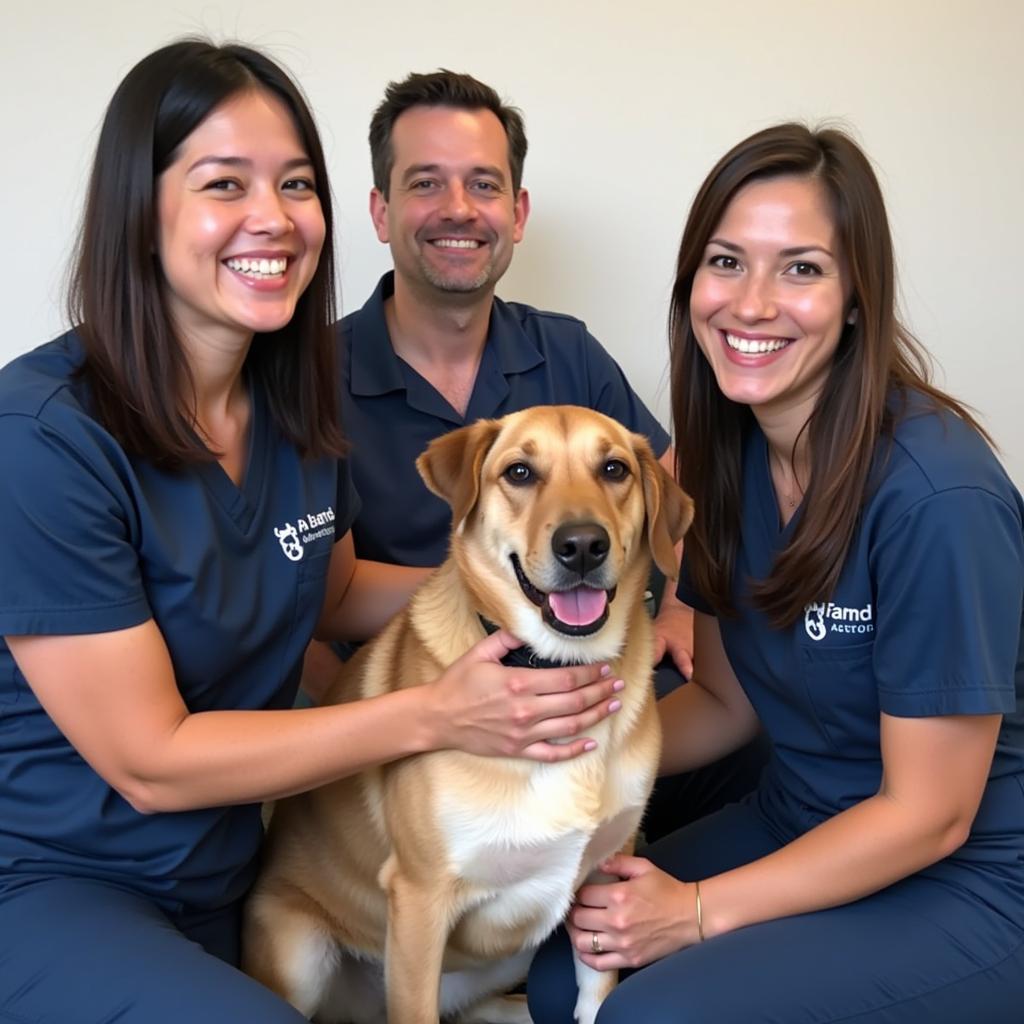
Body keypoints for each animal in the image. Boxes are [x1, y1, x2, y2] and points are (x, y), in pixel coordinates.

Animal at [245, 407, 696, 1024]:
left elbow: (596, 991)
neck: (554, 664)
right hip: (302, 953)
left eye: (614, 469)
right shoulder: (420, 899)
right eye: (520, 472)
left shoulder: (608, 871)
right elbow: (415, 1007)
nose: (583, 545)